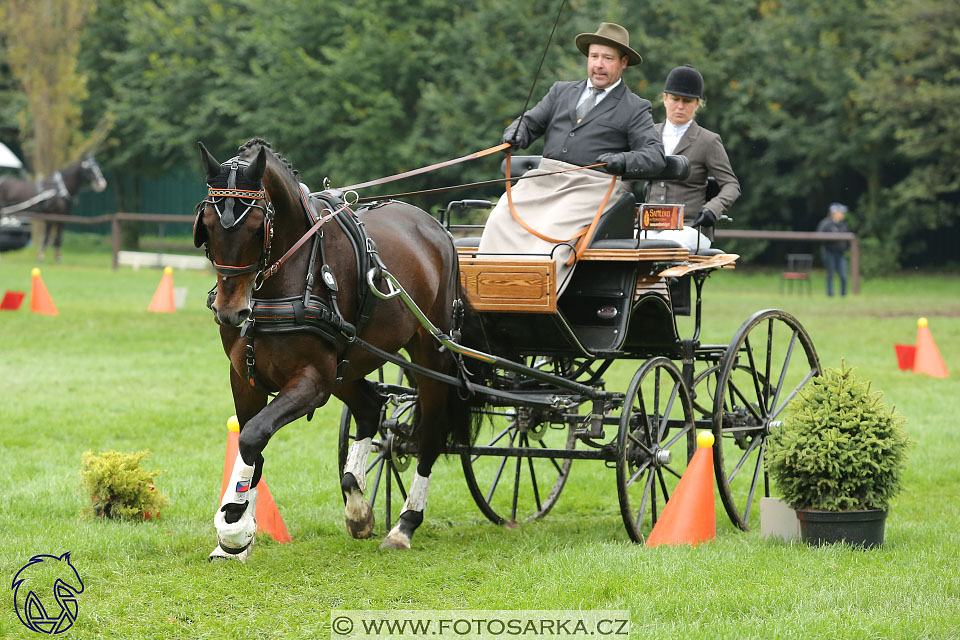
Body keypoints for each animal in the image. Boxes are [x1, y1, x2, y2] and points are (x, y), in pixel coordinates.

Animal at [192, 139, 472, 556]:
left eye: (258, 228)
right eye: (207, 225)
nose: (231, 312)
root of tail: (437, 229)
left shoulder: (311, 381)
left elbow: (253, 435)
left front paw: (233, 525)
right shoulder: (244, 378)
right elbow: (249, 443)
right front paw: (238, 536)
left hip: (430, 357)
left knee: (431, 435)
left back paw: (404, 524)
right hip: (349, 363)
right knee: (371, 408)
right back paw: (357, 505)